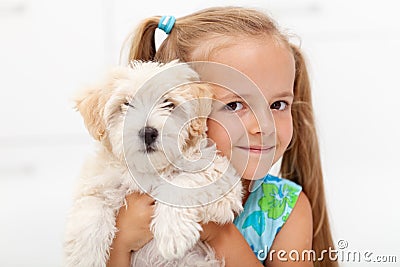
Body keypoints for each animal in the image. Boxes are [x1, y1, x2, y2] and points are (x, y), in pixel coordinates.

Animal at [64, 61, 242, 267]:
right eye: (126, 104)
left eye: (169, 104)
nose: (148, 133)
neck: (150, 169)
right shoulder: (95, 182)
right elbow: (90, 211)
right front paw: (85, 257)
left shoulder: (221, 177)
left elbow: (182, 185)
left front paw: (173, 232)